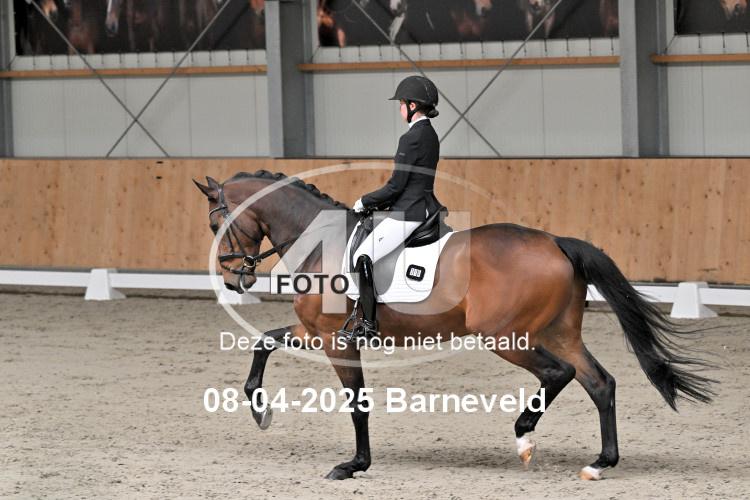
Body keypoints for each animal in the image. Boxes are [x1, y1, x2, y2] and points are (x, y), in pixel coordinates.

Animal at [194, 170, 715, 481]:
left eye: (218, 223)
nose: (234, 280)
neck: (320, 240)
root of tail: (555, 242)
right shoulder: (315, 332)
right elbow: (264, 343)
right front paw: (260, 411)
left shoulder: (335, 340)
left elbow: (358, 405)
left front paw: (355, 465)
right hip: (558, 331)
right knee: (598, 382)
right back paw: (600, 462)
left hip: (507, 336)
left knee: (559, 374)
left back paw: (525, 435)